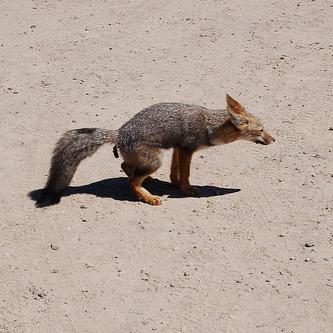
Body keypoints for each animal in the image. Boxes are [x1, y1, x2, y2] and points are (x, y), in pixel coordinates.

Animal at [35, 93, 274, 206]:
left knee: (126, 166)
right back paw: (148, 197)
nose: (274, 139)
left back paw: (144, 182)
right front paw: (187, 190)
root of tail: (119, 132)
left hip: (151, 158)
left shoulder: (179, 148)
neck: (209, 125)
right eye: (261, 130)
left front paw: (175, 184)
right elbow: (186, 173)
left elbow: (175, 171)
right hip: (156, 159)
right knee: (132, 180)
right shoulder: (187, 149)